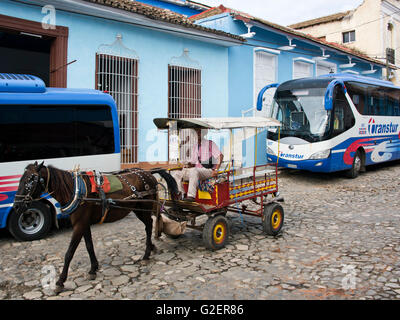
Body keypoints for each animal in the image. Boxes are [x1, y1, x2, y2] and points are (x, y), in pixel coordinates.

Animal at [13, 161, 177, 294]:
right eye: (21, 179)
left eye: (30, 180)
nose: (16, 206)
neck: (75, 191)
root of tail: (148, 173)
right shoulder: (84, 223)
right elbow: (89, 246)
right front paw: (93, 268)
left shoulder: (79, 225)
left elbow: (69, 253)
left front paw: (60, 281)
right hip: (137, 208)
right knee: (149, 223)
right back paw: (151, 247)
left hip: (144, 207)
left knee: (149, 226)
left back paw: (146, 254)